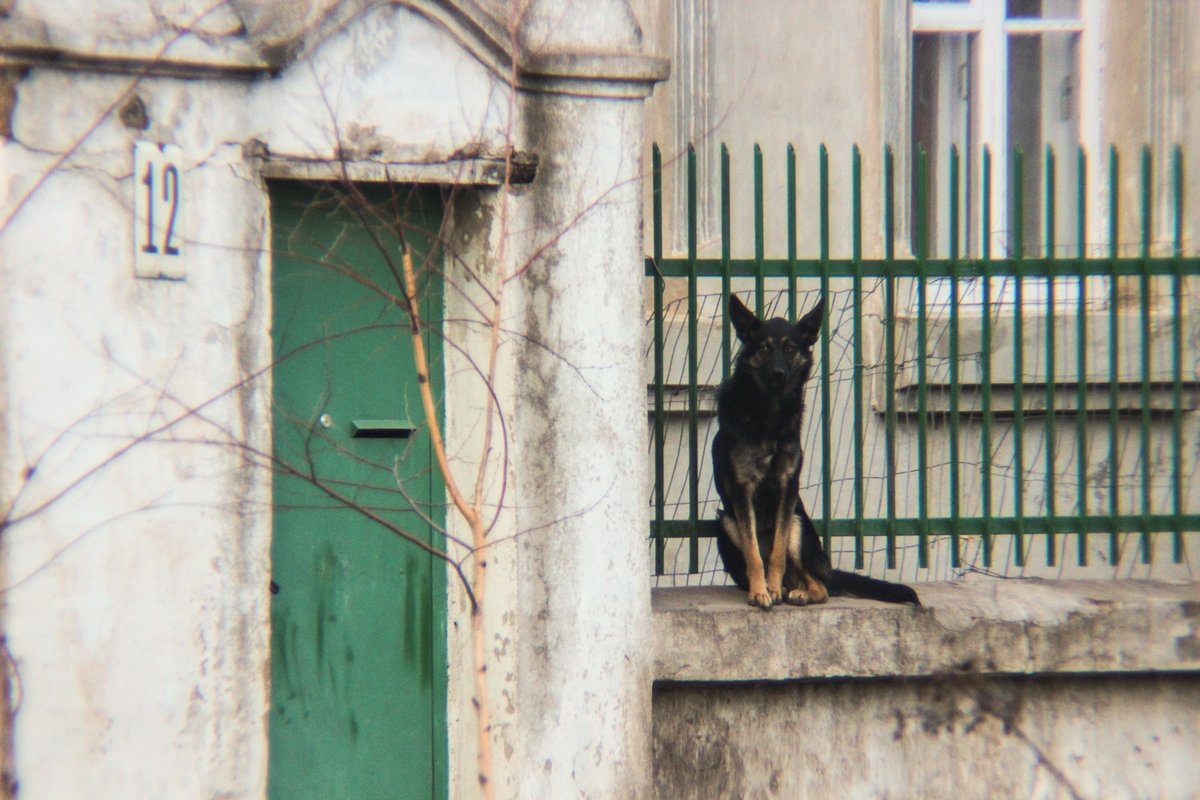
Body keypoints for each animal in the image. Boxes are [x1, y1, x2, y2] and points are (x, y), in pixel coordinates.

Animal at [710, 292, 916, 606]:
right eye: (764, 348)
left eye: (790, 348)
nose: (778, 374)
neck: (769, 415)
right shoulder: (743, 489)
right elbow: (754, 553)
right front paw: (760, 591)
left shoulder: (787, 487)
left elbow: (777, 553)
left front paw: (770, 588)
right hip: (725, 521)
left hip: (798, 526)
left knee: (820, 586)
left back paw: (796, 592)